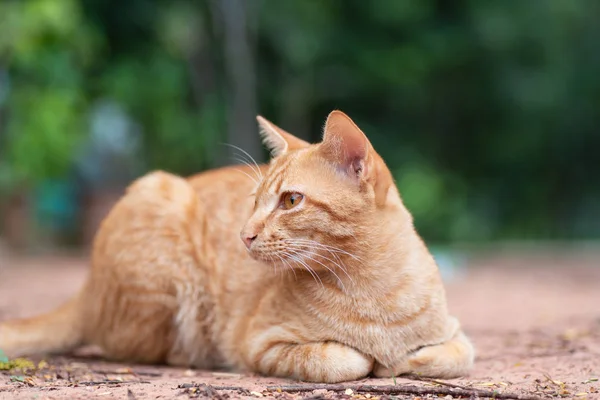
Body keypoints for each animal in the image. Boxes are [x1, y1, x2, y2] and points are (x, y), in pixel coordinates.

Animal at [2, 111, 476, 382]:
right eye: (254, 201)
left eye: (290, 201)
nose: (244, 234)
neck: (370, 289)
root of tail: (86, 288)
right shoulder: (259, 343)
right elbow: (343, 360)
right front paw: (374, 360)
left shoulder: (457, 339)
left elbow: (443, 357)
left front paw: (398, 360)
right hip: (164, 215)